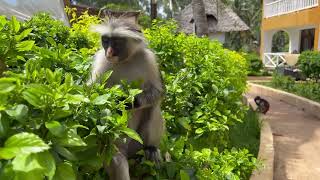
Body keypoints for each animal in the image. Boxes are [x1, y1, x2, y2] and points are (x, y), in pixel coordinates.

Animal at [87, 19, 165, 179]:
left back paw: (151, 148)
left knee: (153, 107)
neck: (126, 60)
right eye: (106, 41)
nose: (109, 52)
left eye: (117, 42)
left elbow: (158, 92)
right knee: (116, 159)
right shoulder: (101, 59)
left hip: (137, 144)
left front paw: (129, 101)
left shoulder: (148, 59)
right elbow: (90, 93)